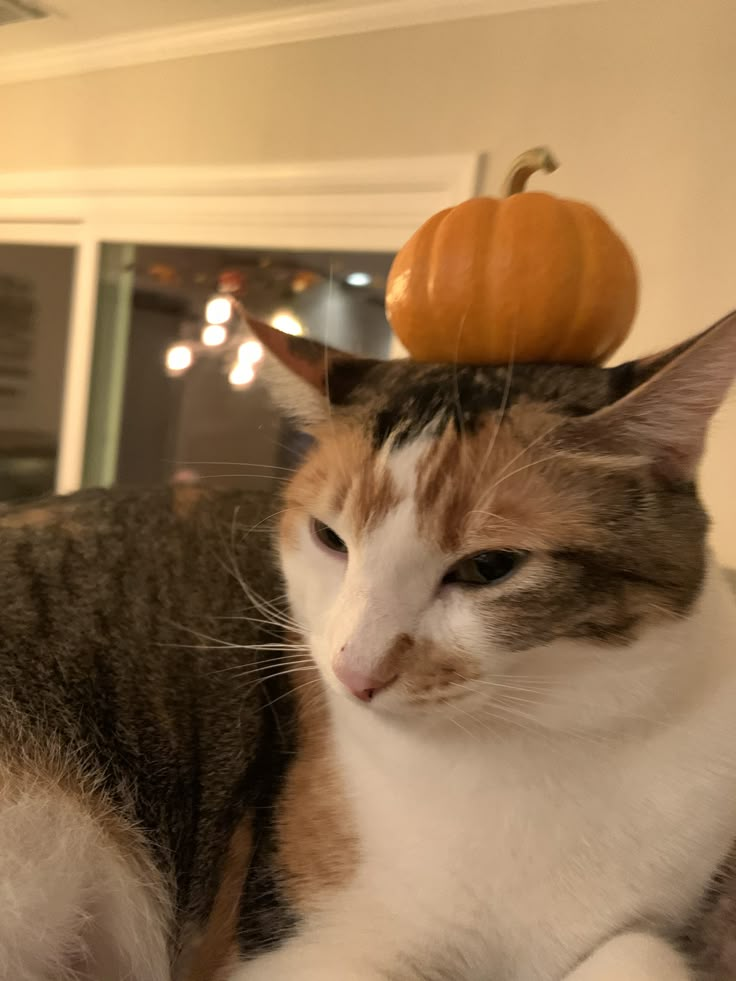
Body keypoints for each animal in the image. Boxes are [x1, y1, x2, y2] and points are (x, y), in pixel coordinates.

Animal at [1, 308, 736, 980]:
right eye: (330, 537)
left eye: (489, 567)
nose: (354, 669)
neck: (547, 735)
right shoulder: (294, 951)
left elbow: (641, 949)